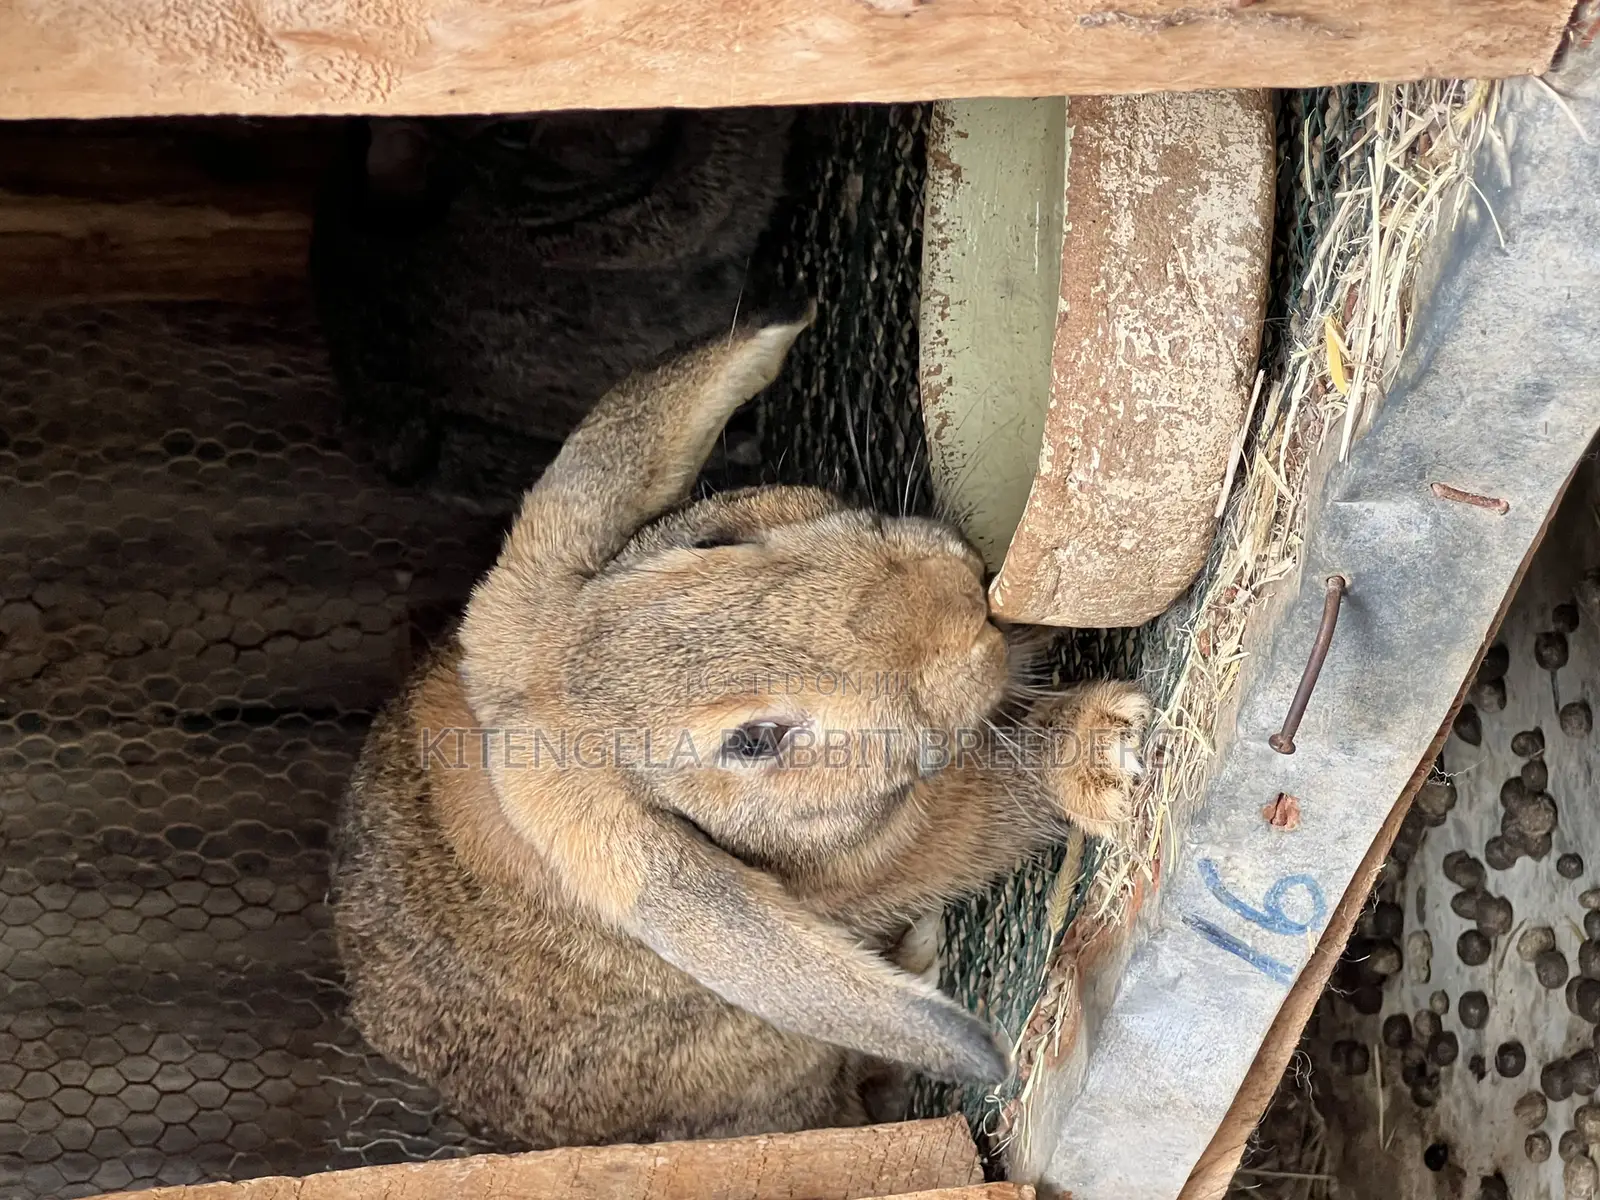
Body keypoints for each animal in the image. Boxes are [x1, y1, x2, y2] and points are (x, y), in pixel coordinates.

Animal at [330, 302, 1152, 1149]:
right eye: (753, 741)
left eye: (715, 540)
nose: (955, 600)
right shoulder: (909, 846)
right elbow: (1004, 793)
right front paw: (1102, 751)